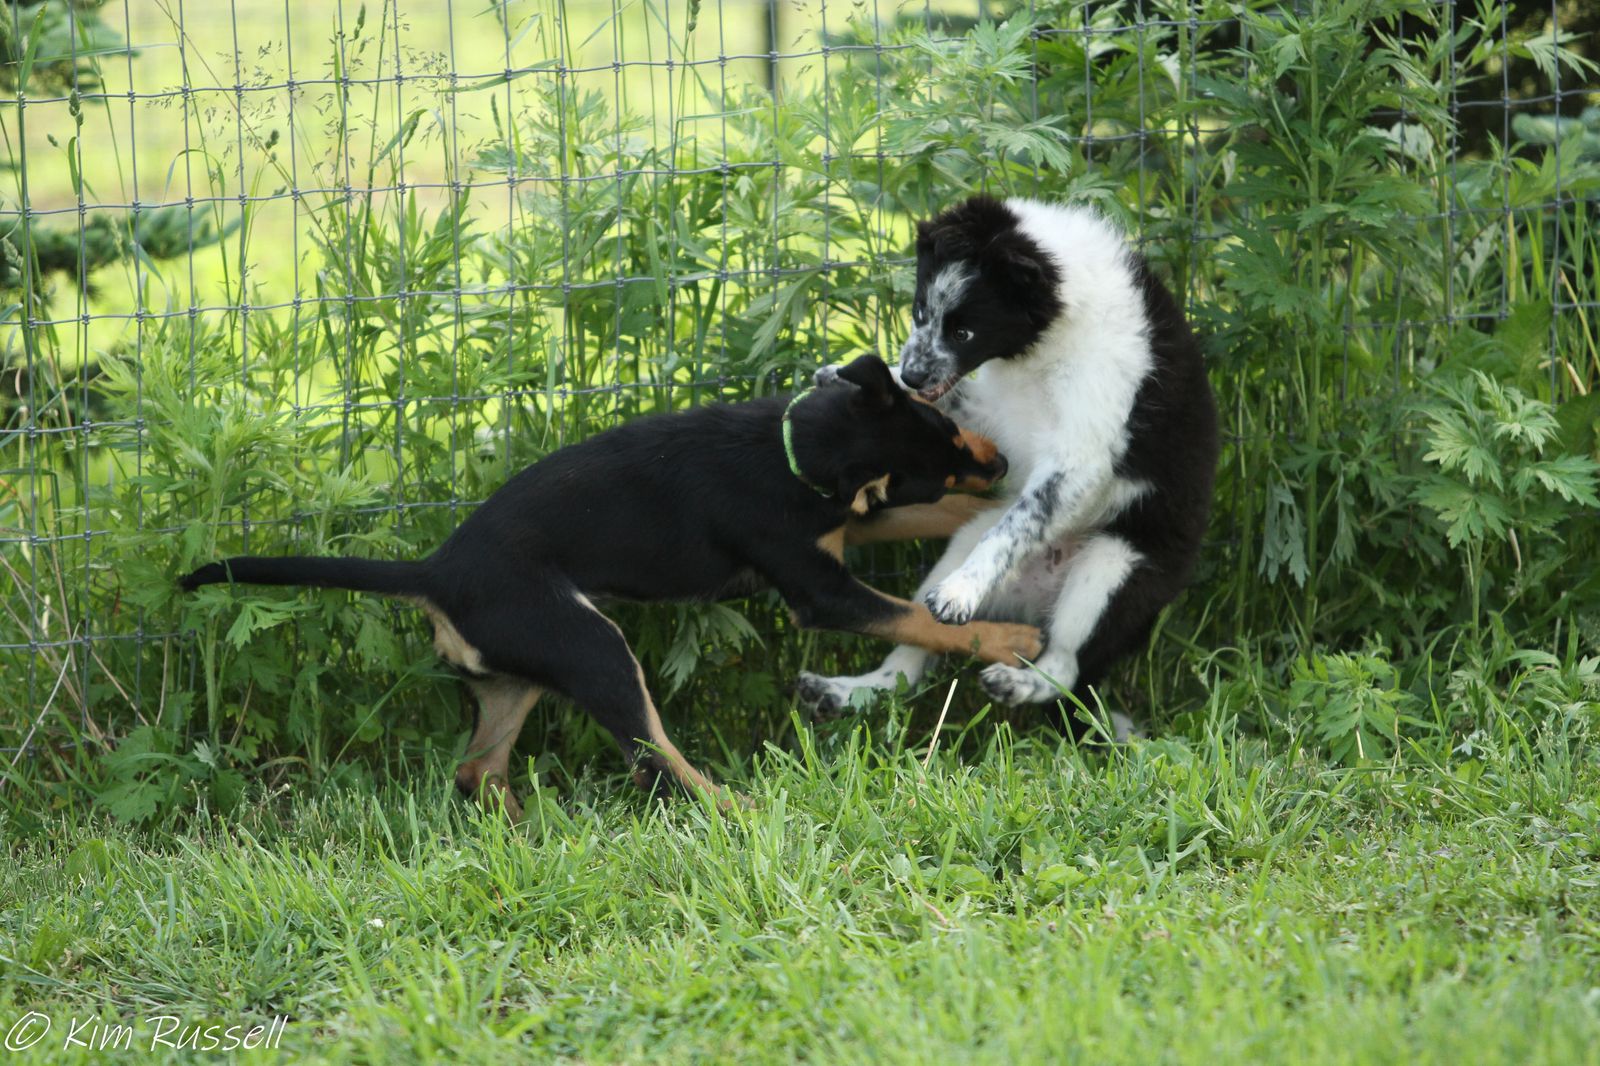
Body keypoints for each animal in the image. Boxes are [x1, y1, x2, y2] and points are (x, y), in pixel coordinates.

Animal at [180, 355, 1043, 818]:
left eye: (947, 427)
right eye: (940, 456)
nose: (1002, 461)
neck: (791, 447)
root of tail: (433, 572)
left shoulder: (846, 525)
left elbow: (939, 528)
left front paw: (1011, 511)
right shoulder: (817, 584)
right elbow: (917, 618)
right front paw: (1008, 636)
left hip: (523, 671)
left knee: (478, 770)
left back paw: (520, 836)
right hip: (594, 648)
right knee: (656, 762)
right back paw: (740, 809)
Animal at [798, 197, 1219, 736]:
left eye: (965, 331)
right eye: (920, 311)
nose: (912, 374)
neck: (1055, 333)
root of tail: (1040, 594)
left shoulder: (1078, 459)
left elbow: (1018, 523)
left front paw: (962, 593)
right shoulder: (997, 415)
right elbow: (948, 405)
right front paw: (855, 380)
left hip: (1113, 570)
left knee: (1064, 666)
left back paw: (1015, 682)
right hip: (961, 544)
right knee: (909, 658)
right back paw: (843, 693)